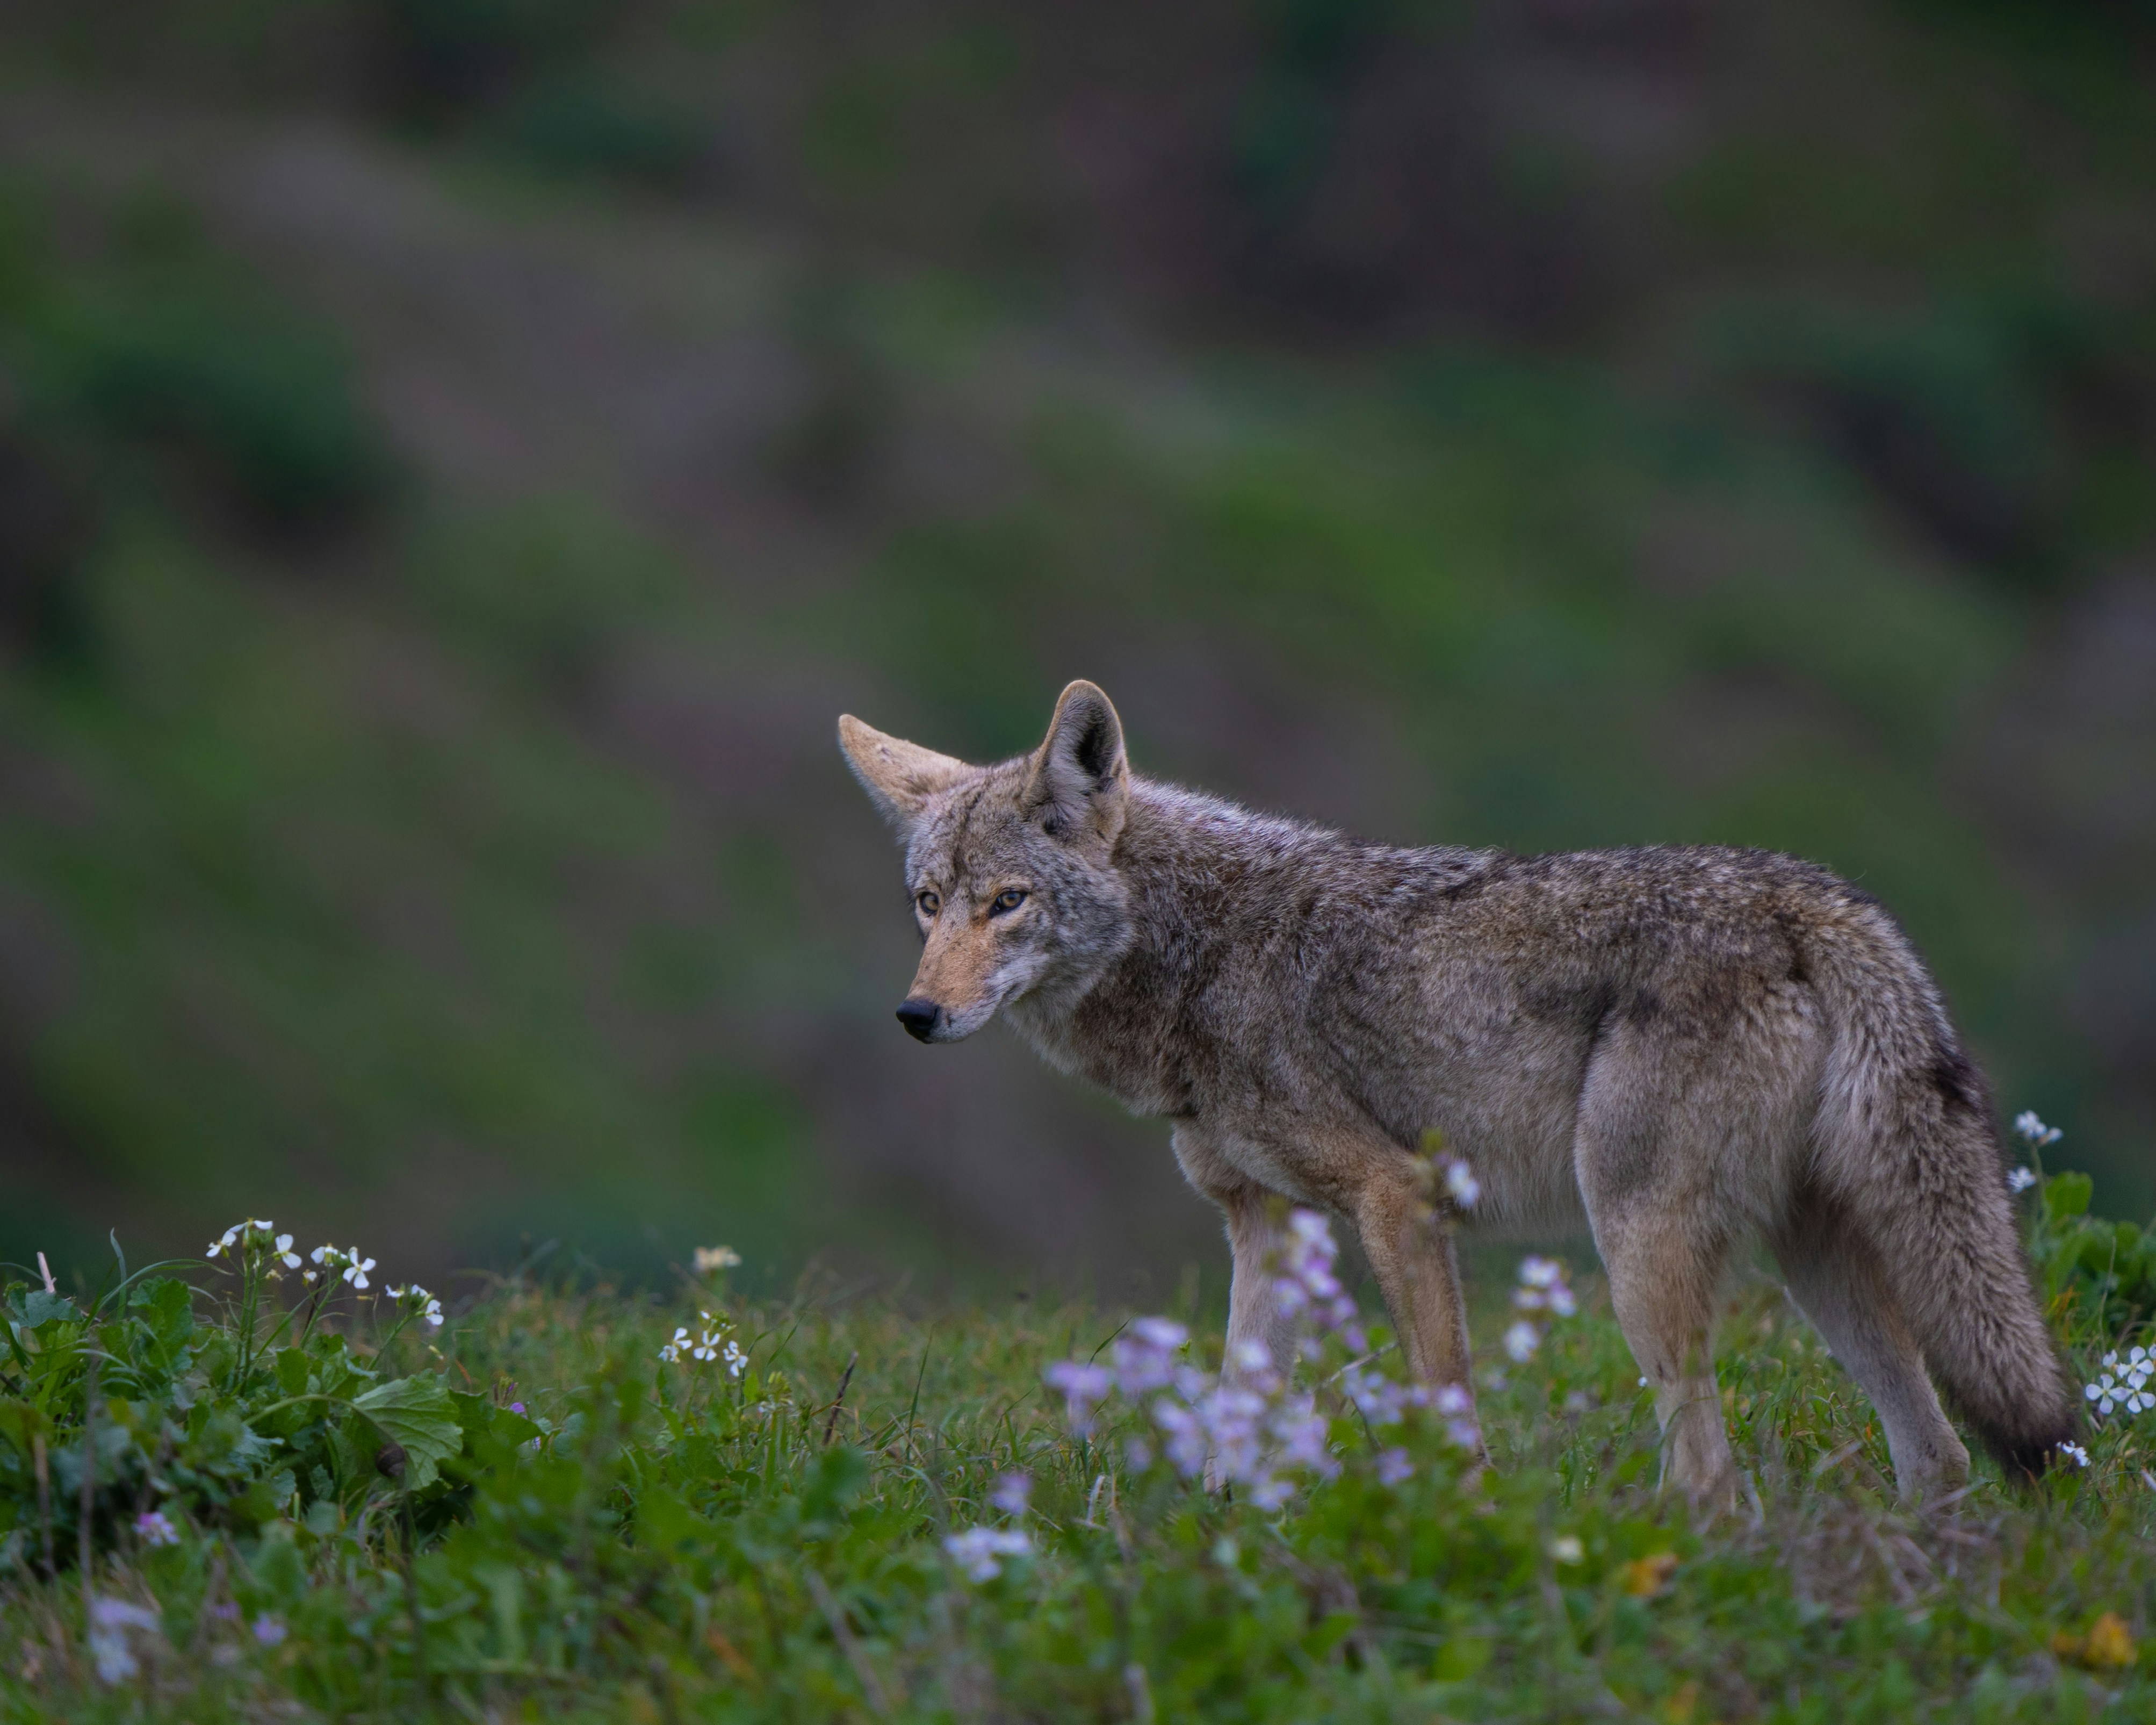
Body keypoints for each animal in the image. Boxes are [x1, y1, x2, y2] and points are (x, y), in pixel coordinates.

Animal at [839, 680, 2076, 1508]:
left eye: (1005, 902)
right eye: (925, 904)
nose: (914, 1015)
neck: (1195, 953)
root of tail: (1814, 899)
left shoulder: (1398, 1198)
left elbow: (1445, 1406)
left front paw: (1463, 1530)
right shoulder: (1264, 1224)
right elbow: (1233, 1405)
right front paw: (1216, 1539)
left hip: (1637, 1255)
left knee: (1714, 1478)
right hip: (1809, 1261)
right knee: (1936, 1457)